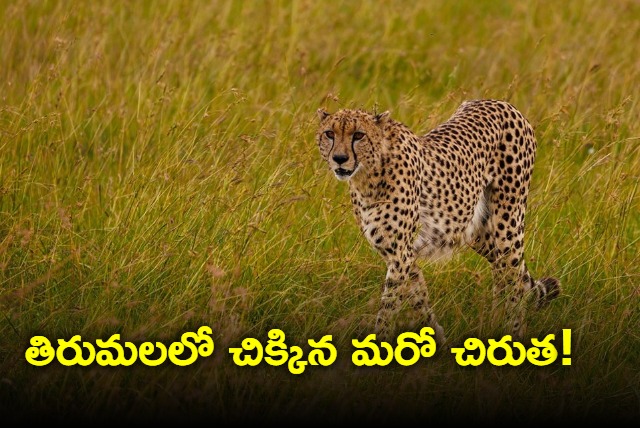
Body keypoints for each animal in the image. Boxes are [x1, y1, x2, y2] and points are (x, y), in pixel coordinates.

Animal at [318, 100, 556, 344]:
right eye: (329, 134)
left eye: (358, 135)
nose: (339, 158)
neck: (368, 175)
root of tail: (502, 103)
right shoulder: (401, 253)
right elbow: (418, 296)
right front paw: (437, 337)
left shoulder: (401, 255)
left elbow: (389, 305)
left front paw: (380, 341)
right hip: (477, 232)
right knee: (508, 275)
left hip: (507, 226)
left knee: (514, 280)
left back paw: (512, 332)